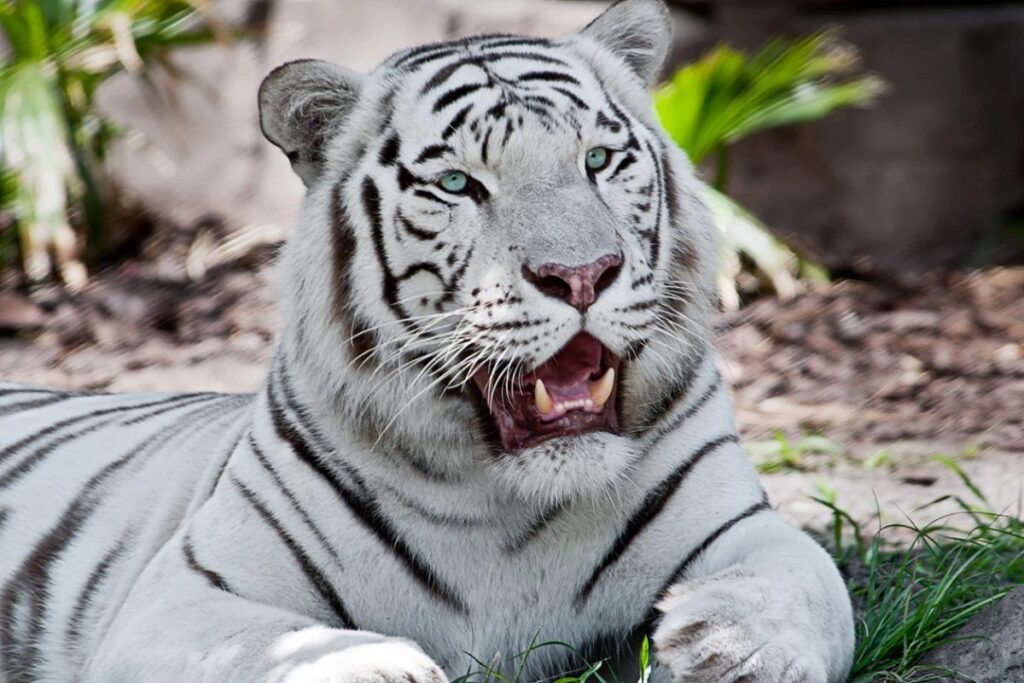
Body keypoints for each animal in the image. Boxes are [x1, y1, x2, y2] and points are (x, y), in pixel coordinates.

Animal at [0, 1, 855, 681]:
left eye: (599, 160)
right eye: (457, 186)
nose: (582, 275)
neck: (510, 504)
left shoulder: (744, 525)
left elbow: (809, 580)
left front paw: (727, 648)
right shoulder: (186, 594)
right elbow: (281, 650)